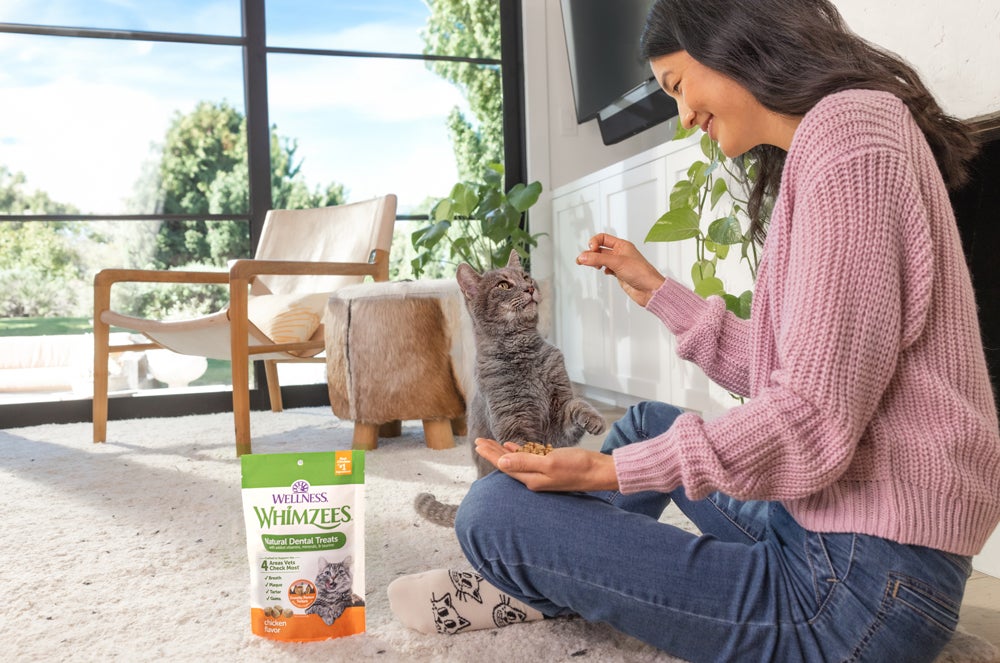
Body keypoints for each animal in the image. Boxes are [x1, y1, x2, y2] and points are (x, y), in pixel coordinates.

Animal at [412, 252, 604, 528]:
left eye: (525, 276)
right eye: (503, 285)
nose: (530, 287)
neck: (523, 352)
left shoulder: (559, 411)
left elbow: (577, 405)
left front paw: (595, 419)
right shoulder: (511, 417)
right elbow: (520, 439)